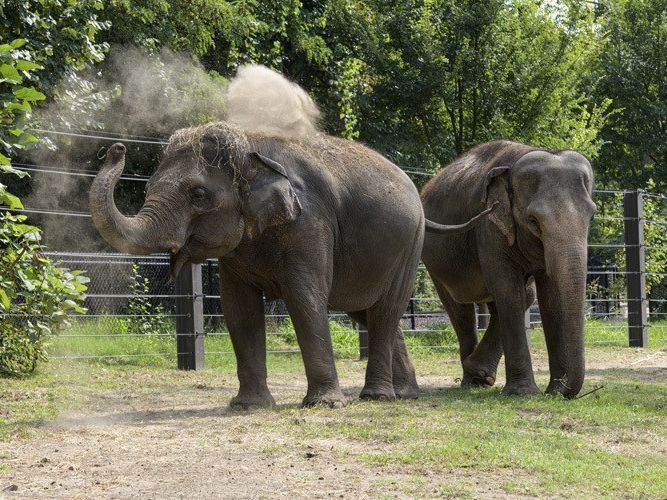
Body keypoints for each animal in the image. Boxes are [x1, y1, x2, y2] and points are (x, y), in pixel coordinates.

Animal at [422, 140, 596, 398]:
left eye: (592, 217)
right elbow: (509, 291)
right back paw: (472, 380)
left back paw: (480, 375)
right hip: (435, 260)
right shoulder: (489, 224)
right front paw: (524, 393)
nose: (562, 390)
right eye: (533, 221)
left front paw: (552, 390)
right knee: (460, 309)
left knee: (517, 299)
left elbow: (549, 298)